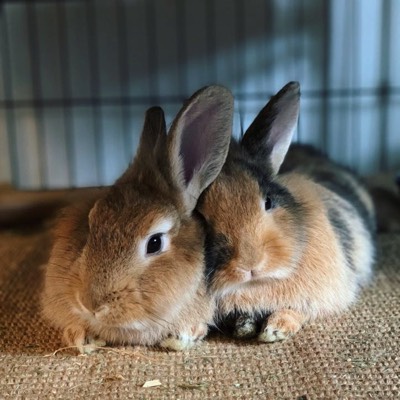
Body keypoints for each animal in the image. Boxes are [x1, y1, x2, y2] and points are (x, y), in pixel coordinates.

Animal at [198, 82, 376, 344]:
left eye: (268, 201)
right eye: (201, 215)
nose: (249, 265)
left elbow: (298, 312)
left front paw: (275, 329)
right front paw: (244, 325)